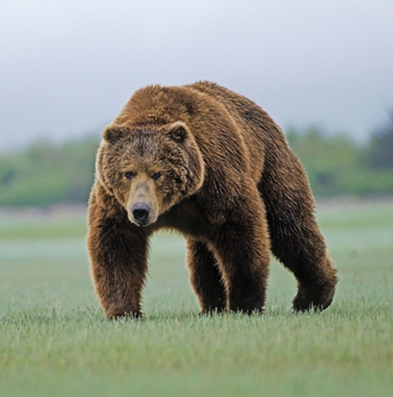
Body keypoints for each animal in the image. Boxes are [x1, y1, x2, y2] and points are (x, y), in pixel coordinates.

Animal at [87, 81, 336, 318]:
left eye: (157, 173)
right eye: (128, 173)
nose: (141, 210)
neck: (175, 204)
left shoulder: (216, 179)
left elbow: (242, 234)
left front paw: (243, 305)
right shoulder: (115, 202)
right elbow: (117, 246)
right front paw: (123, 310)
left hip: (271, 167)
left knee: (290, 227)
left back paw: (312, 298)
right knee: (203, 256)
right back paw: (211, 306)